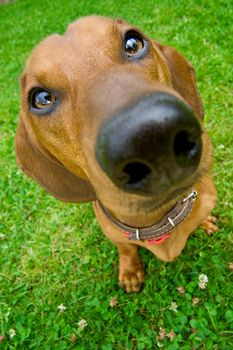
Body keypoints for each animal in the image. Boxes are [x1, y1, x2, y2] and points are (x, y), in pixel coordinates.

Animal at [15, 15, 218, 292]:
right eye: (41, 98)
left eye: (133, 42)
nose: (151, 138)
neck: (158, 224)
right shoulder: (115, 235)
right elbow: (126, 248)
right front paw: (130, 270)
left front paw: (204, 222)